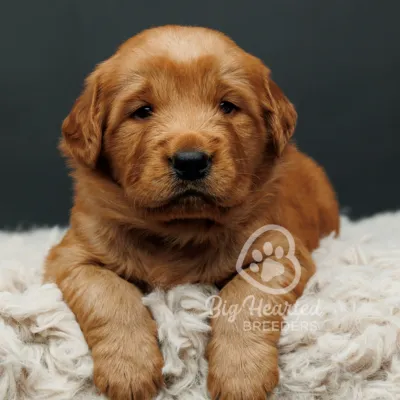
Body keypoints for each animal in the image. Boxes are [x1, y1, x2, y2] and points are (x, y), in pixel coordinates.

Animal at [43, 25, 340, 400]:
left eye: (227, 106)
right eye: (142, 111)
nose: (190, 161)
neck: (180, 230)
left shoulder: (282, 252)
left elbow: (245, 296)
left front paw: (241, 376)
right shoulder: (73, 255)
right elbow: (109, 293)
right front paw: (129, 369)